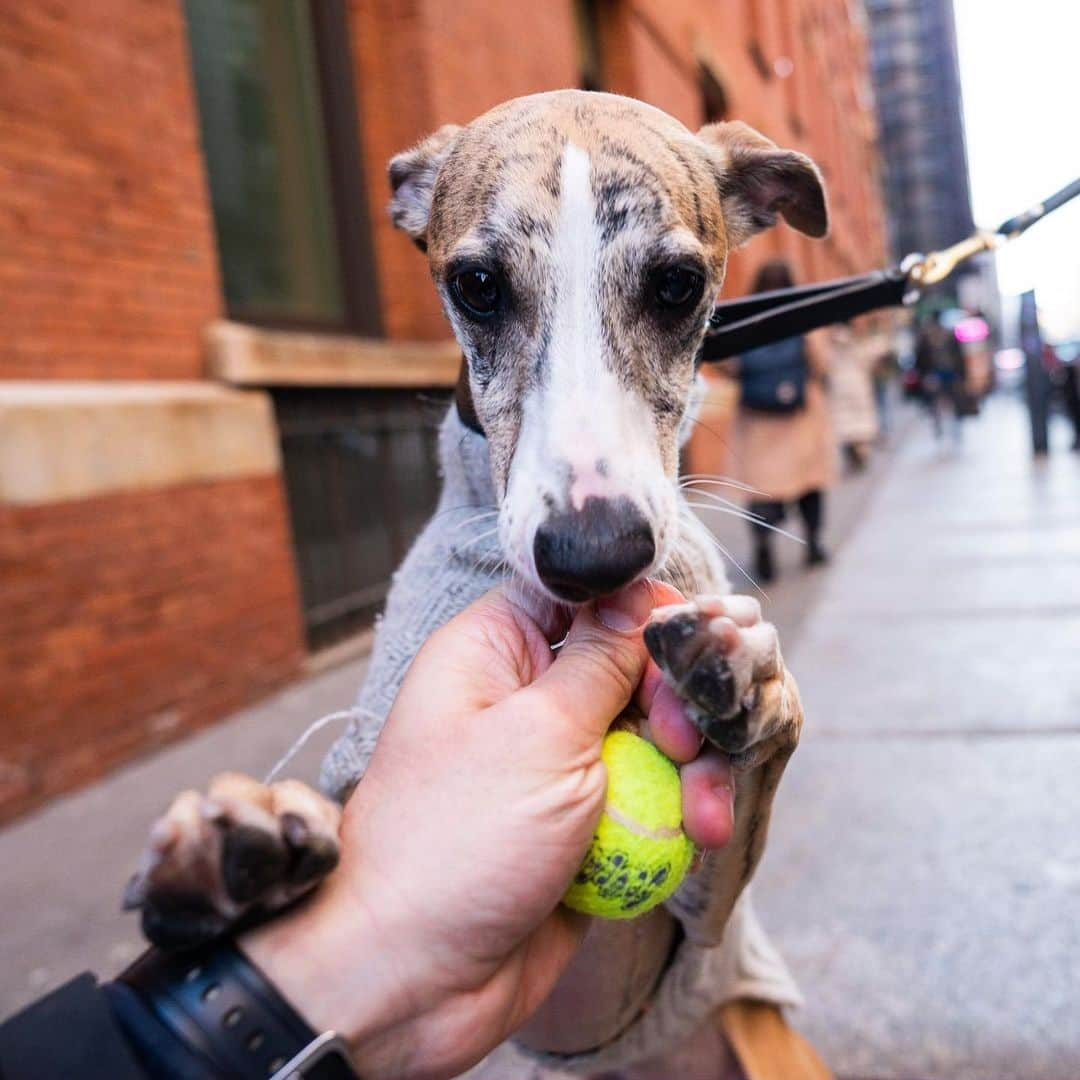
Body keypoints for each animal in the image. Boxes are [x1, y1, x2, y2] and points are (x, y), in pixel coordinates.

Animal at [124, 90, 825, 1071]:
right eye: (479, 285)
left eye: (678, 285)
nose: (593, 554)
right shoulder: (562, 1008)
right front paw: (231, 854)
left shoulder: (669, 954)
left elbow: (756, 781)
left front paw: (751, 679)